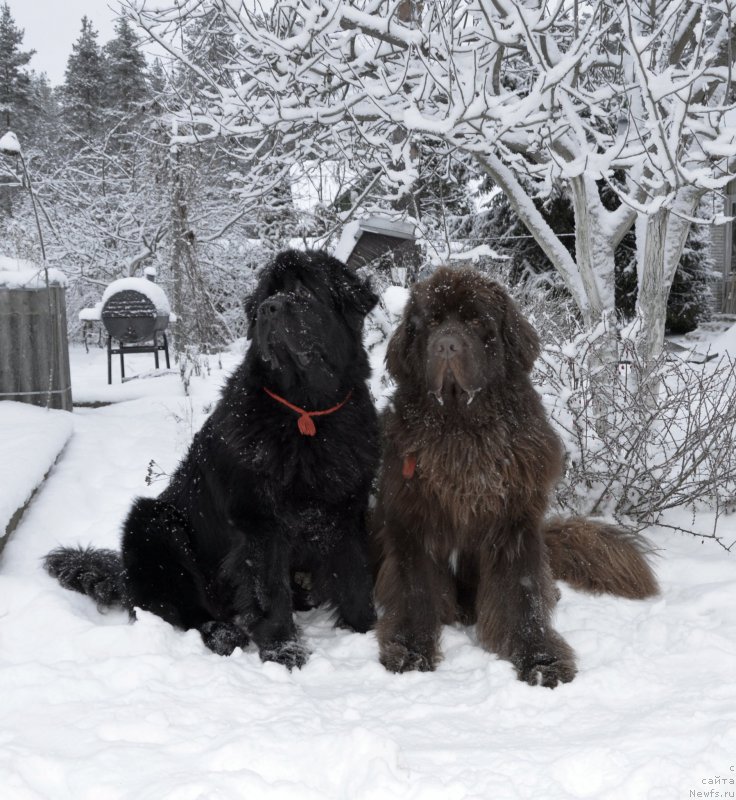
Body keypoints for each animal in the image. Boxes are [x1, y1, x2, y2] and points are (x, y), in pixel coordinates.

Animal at [46, 250, 380, 668]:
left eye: (305, 292)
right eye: (268, 293)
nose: (268, 309)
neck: (308, 413)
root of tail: (123, 576)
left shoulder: (346, 508)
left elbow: (355, 576)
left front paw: (368, 633)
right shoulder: (257, 519)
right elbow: (269, 591)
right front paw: (284, 652)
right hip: (154, 522)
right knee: (178, 608)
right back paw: (223, 634)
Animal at [376, 268, 660, 688]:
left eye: (476, 321)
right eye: (431, 322)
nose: (446, 346)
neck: (461, 429)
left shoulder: (514, 524)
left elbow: (521, 594)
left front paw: (540, 659)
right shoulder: (412, 523)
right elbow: (415, 590)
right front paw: (410, 650)